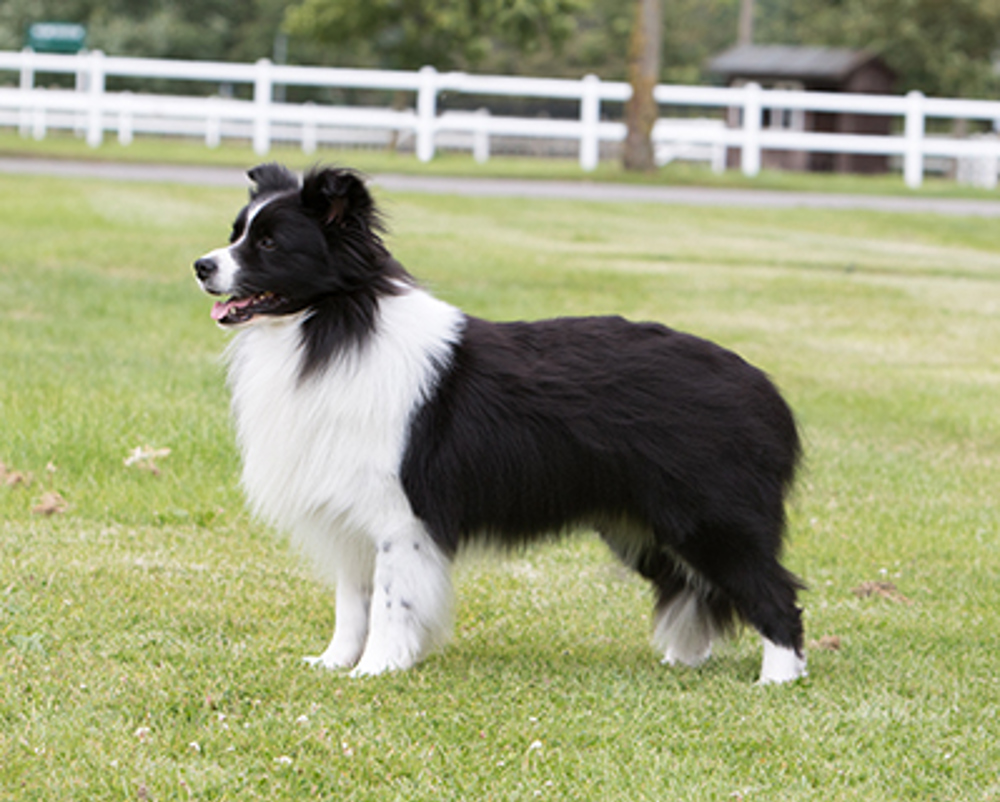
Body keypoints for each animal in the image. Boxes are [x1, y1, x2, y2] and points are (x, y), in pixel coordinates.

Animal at [193, 162, 804, 680]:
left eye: (269, 243)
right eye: (236, 233)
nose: (201, 266)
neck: (333, 324)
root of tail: (763, 388)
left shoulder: (399, 520)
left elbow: (391, 601)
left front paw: (378, 669)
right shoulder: (349, 515)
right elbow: (352, 602)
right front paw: (334, 663)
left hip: (712, 520)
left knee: (775, 592)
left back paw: (777, 678)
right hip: (643, 527)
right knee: (695, 588)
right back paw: (684, 663)